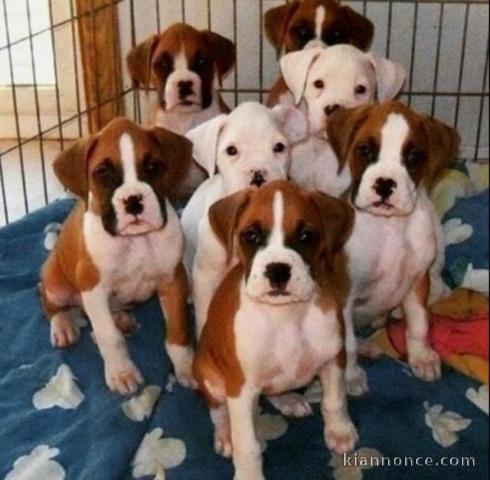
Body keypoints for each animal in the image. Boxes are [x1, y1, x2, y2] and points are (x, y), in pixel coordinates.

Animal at [40, 118, 196, 395]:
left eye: (152, 166)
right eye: (103, 172)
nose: (133, 200)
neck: (136, 241)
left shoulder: (173, 281)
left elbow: (178, 331)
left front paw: (186, 367)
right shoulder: (93, 289)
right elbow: (109, 337)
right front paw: (122, 372)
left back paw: (120, 318)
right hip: (55, 284)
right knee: (47, 301)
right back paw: (63, 325)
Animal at [194, 180, 358, 480]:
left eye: (305, 236)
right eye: (251, 235)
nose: (278, 270)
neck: (286, 316)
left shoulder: (333, 361)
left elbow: (335, 401)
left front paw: (339, 431)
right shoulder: (241, 389)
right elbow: (246, 442)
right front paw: (248, 474)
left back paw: (288, 399)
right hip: (211, 378)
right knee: (219, 412)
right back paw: (225, 435)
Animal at [325, 101, 460, 395]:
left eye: (413, 157)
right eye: (365, 150)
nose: (385, 184)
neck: (390, 227)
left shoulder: (418, 283)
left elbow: (419, 324)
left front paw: (421, 356)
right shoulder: (344, 296)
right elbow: (347, 343)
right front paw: (350, 376)